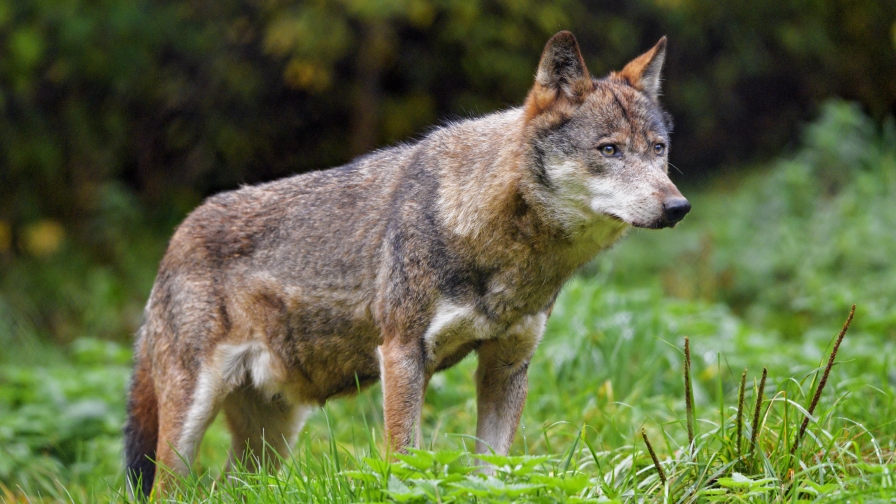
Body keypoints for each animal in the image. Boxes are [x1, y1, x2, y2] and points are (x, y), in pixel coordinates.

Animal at [124, 30, 689, 497]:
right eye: (609, 150)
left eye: (658, 149)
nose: (678, 207)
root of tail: (176, 236)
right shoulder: (401, 354)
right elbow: (404, 459)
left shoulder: (507, 364)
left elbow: (491, 471)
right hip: (188, 425)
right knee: (166, 491)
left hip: (271, 441)